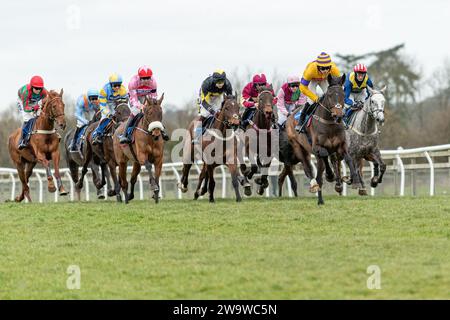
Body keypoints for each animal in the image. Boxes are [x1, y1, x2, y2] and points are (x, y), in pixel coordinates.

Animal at [306, 74, 362, 205]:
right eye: (330, 95)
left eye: (342, 94)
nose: (338, 115)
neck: (329, 124)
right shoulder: (317, 147)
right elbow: (324, 154)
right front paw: (330, 175)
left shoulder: (341, 146)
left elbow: (348, 159)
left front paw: (354, 180)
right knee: (319, 176)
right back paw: (321, 198)